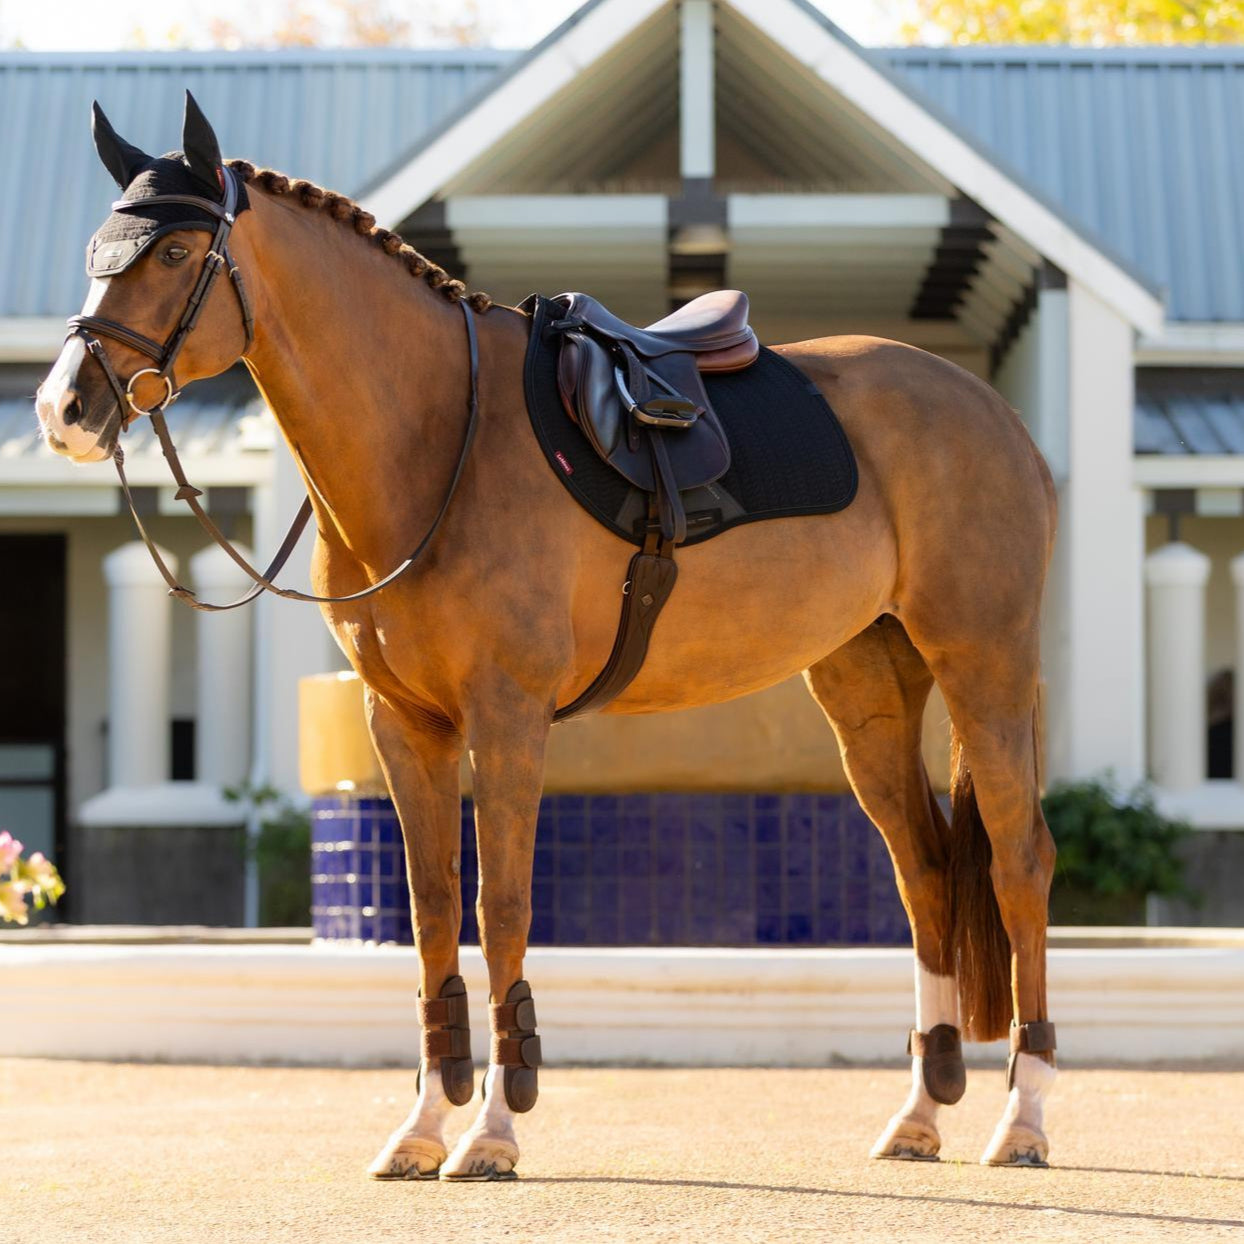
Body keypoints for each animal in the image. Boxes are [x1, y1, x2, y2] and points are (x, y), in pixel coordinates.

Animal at [36, 94, 1059, 1179]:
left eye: (177, 248)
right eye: (102, 250)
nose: (64, 408)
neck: (436, 438)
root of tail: (995, 415)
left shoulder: (509, 717)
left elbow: (503, 908)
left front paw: (494, 1123)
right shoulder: (404, 725)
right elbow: (433, 910)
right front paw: (423, 1123)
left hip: (983, 668)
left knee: (1015, 862)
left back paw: (1023, 1116)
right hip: (867, 689)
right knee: (925, 871)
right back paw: (920, 1111)